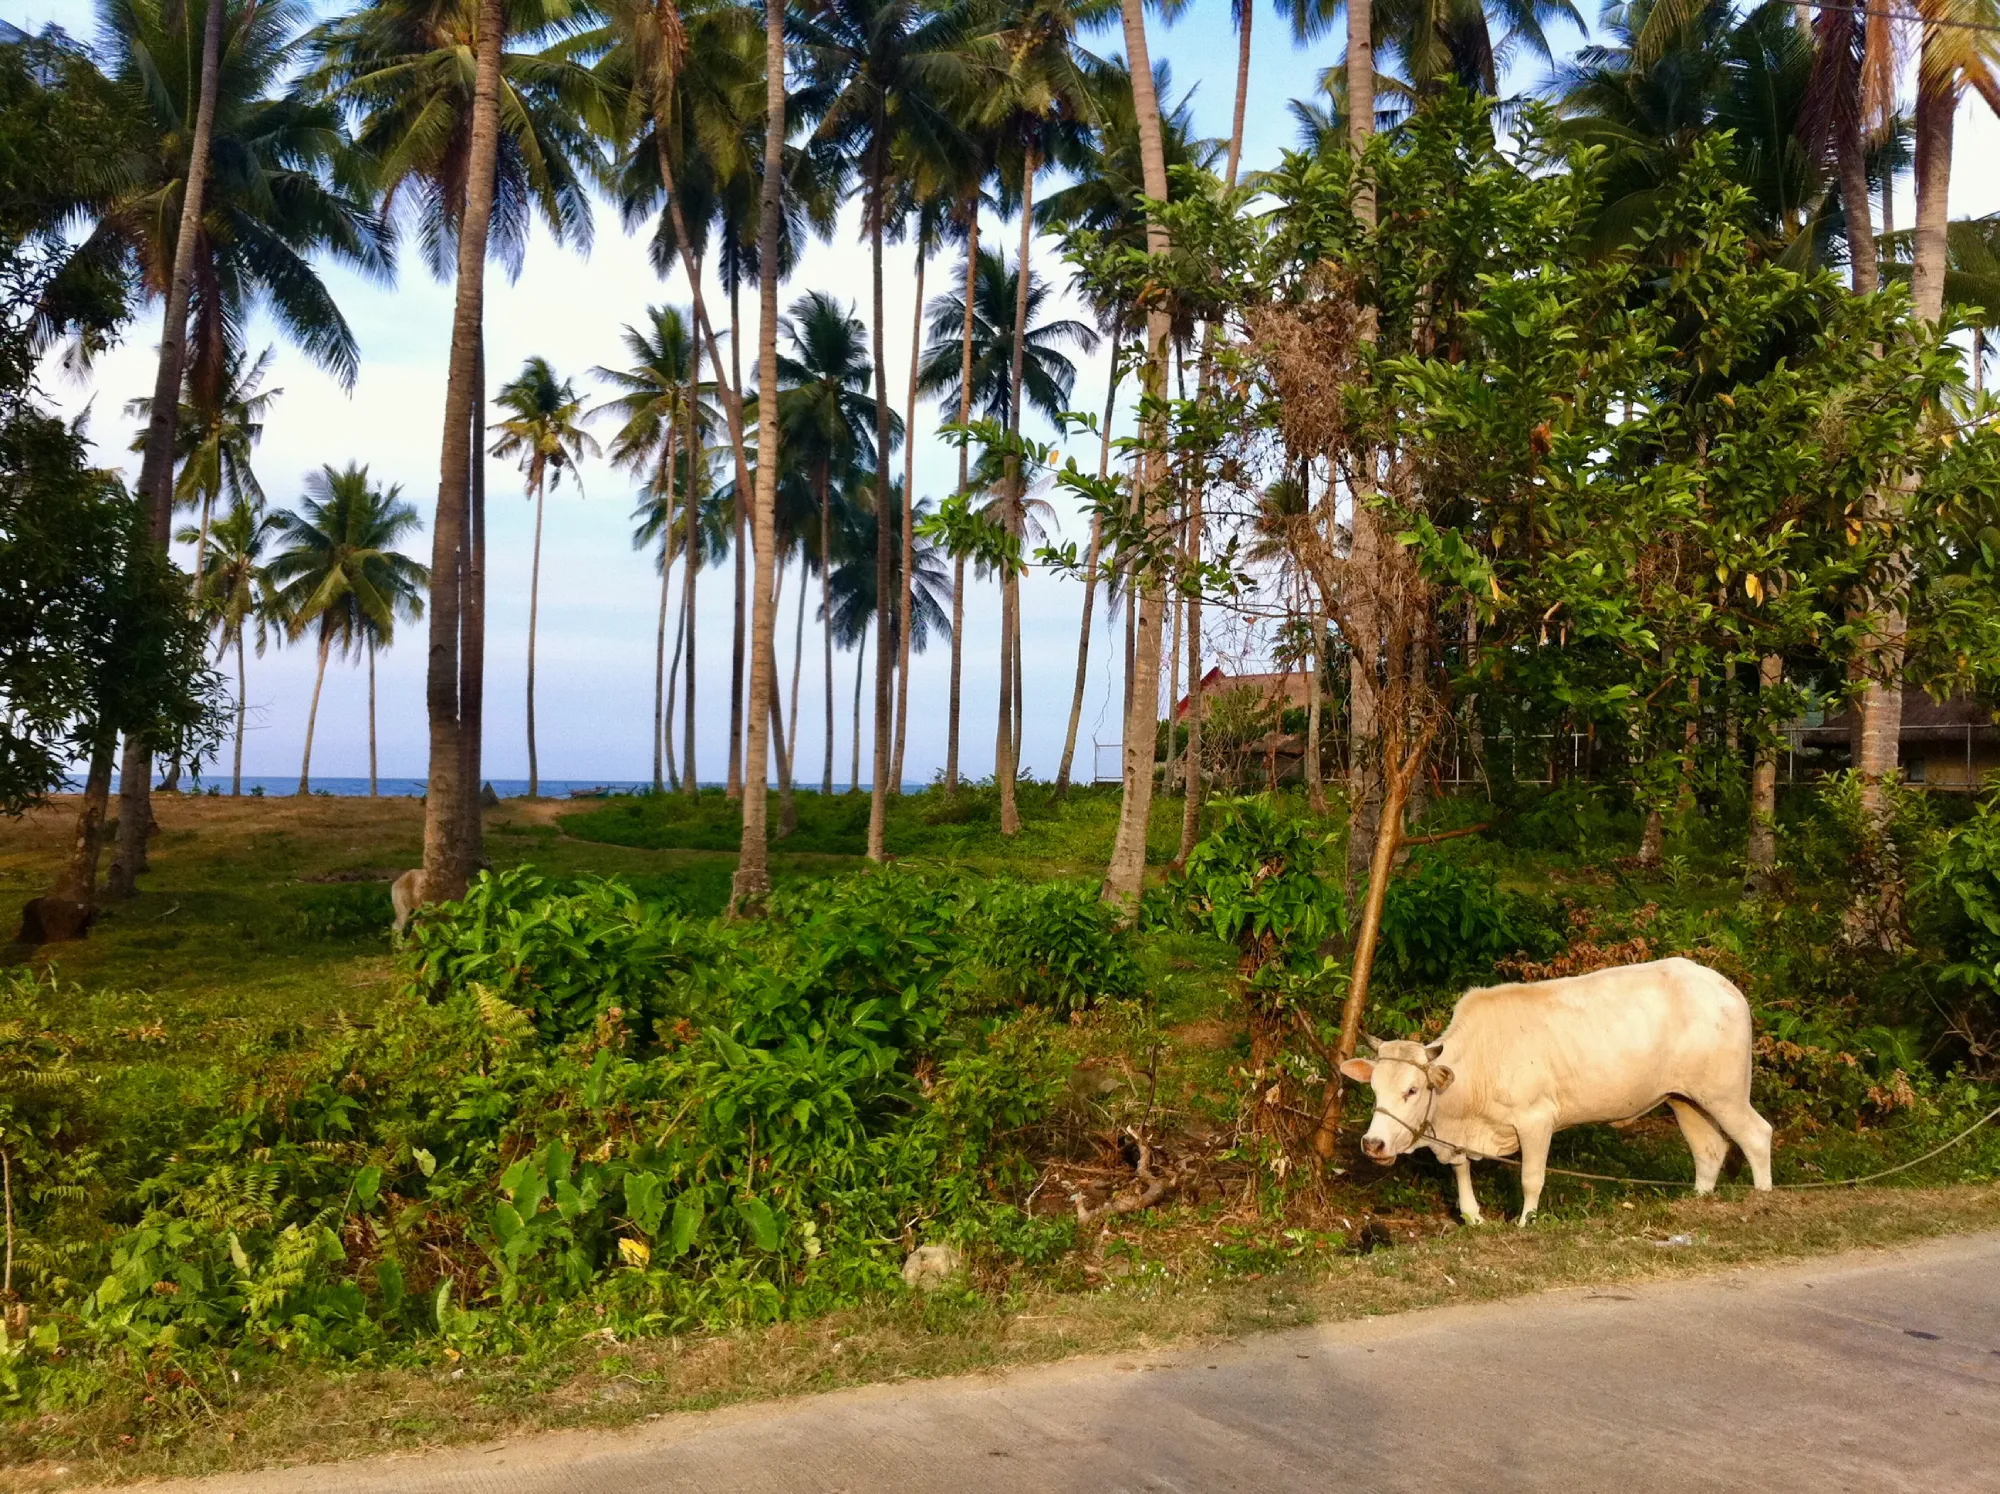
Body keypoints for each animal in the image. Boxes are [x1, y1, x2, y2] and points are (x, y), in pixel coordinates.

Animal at [1336, 960, 1776, 1224]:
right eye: (1373, 1089)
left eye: (1412, 1089)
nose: (1373, 1144)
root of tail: (1724, 986)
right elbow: (1460, 1168)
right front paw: (1473, 1216)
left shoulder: (1536, 1119)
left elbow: (1531, 1177)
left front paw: (1525, 1222)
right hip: (1683, 1098)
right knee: (1709, 1149)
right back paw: (1699, 1202)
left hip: (1725, 1092)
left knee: (1756, 1135)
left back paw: (1763, 1197)